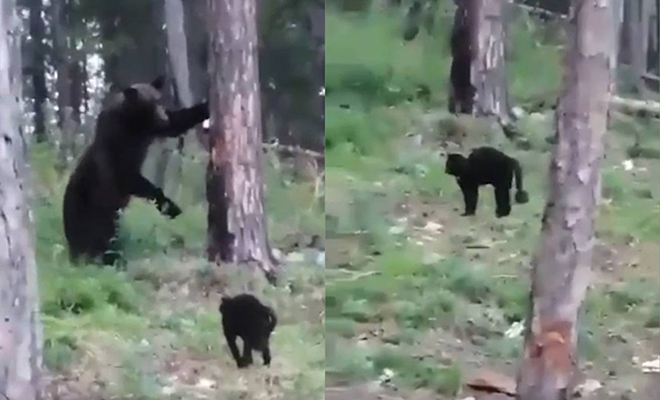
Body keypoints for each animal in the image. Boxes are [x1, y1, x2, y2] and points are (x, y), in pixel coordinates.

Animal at [62, 77, 209, 266]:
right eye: (152, 103)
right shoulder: (115, 141)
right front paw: (171, 206)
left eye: (160, 100)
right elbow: (126, 175)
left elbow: (178, 122)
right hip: (86, 208)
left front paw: (206, 106)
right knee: (97, 238)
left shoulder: (149, 130)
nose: (163, 116)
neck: (133, 123)